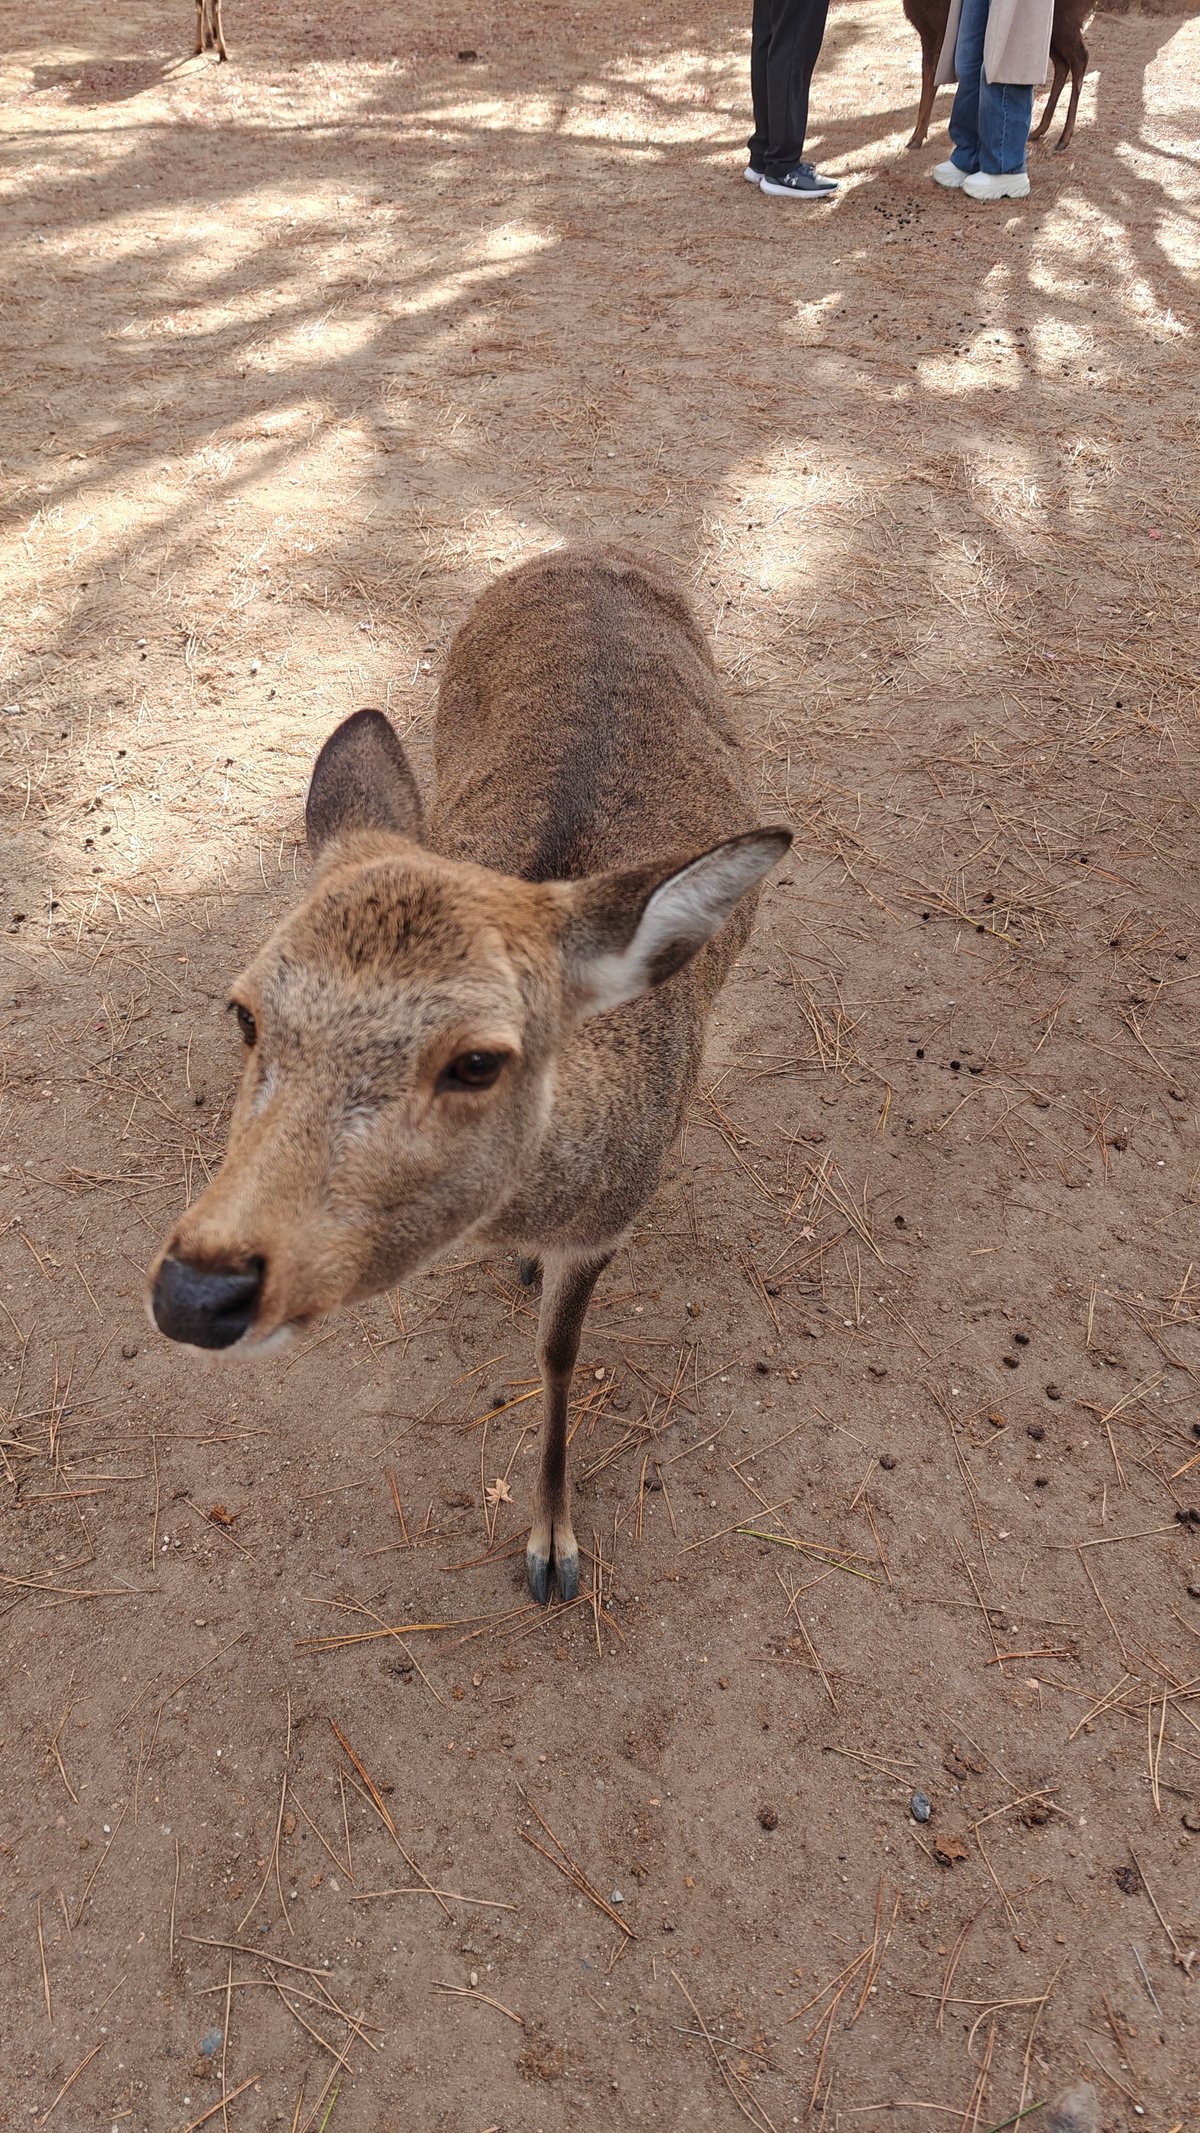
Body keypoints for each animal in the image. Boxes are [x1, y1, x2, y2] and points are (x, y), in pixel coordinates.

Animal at [148, 547, 791, 1605]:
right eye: (244, 1013)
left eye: (478, 1060)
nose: (196, 1293)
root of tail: (587, 551)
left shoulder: (611, 1222)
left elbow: (560, 1356)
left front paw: (553, 1549)